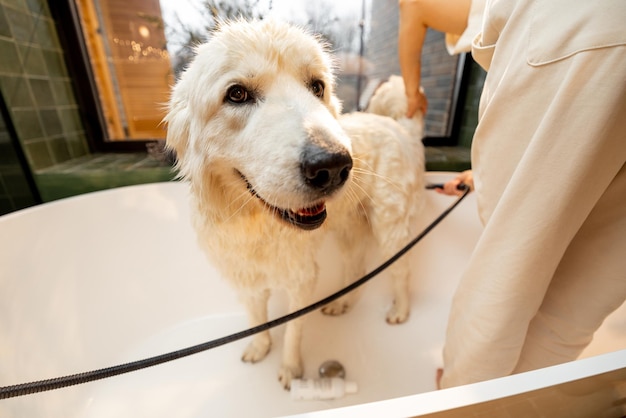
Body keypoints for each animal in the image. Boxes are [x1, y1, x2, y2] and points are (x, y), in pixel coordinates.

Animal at [165, 19, 424, 386]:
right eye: (237, 94)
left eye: (317, 87)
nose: (333, 166)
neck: (255, 223)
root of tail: (400, 127)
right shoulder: (246, 279)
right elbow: (257, 319)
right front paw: (260, 348)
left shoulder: (301, 280)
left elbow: (292, 331)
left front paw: (290, 368)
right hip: (349, 230)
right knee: (356, 268)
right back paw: (342, 304)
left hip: (390, 230)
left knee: (402, 271)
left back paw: (400, 310)